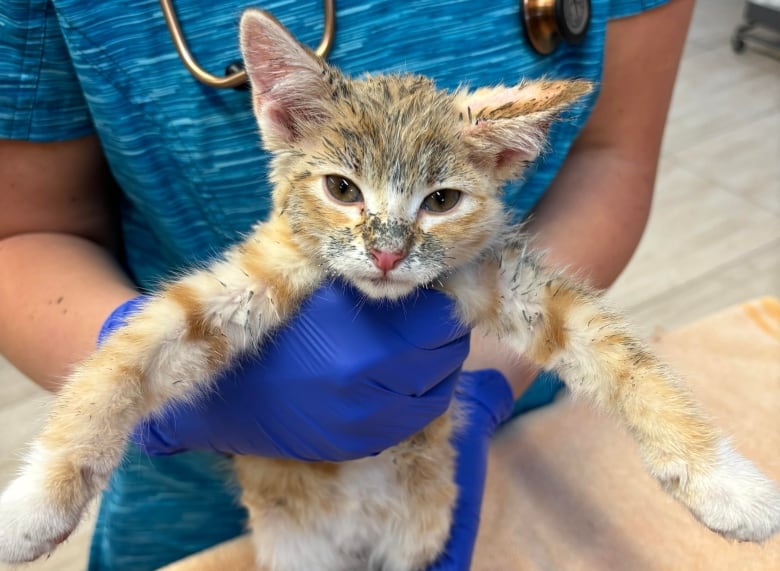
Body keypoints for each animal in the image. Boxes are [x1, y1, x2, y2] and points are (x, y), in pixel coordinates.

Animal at [1, 8, 780, 571]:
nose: (385, 252)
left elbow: (623, 358)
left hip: (422, 527)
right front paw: (35, 505)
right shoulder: (257, 273)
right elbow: (127, 359)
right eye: (342, 189)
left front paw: (725, 483)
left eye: (441, 200)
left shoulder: (493, 277)